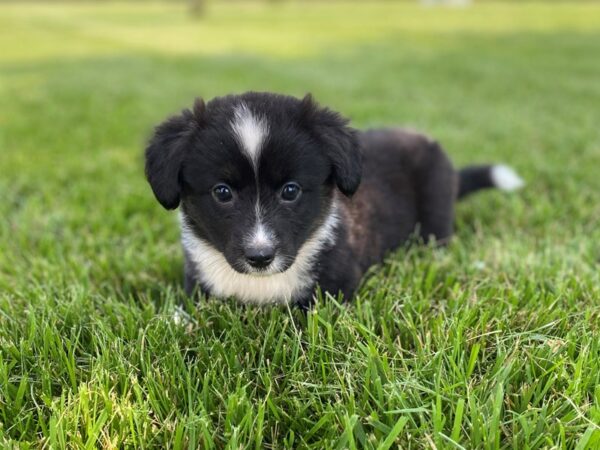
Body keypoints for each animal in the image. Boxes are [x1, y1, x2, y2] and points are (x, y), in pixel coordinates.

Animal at [144, 92, 520, 308]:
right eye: (222, 192)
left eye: (291, 191)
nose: (260, 258)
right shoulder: (199, 283)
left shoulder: (336, 288)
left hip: (436, 208)